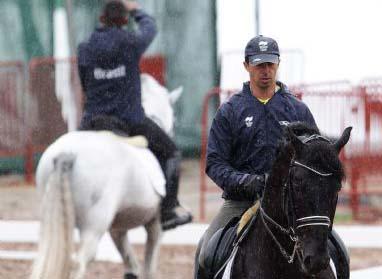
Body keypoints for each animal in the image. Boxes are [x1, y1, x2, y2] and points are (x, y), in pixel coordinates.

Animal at [30, 74, 183, 279]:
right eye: (174, 118)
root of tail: (67, 154)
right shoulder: (155, 224)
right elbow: (149, 269)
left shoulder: (118, 227)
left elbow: (131, 267)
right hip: (94, 225)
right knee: (80, 261)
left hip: (55, 218)